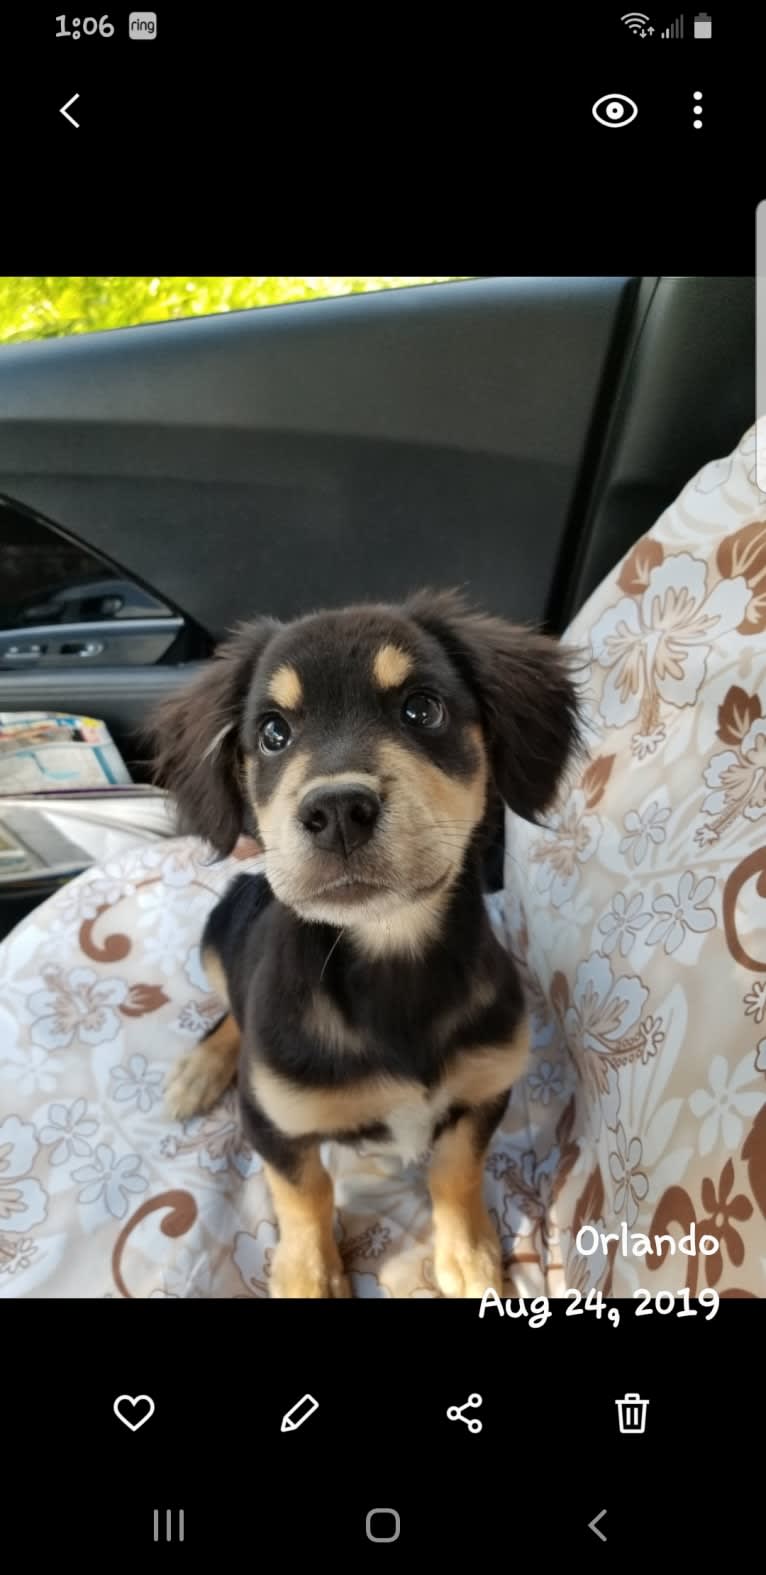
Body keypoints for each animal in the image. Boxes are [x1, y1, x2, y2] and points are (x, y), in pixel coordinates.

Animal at [148, 585, 580, 1297]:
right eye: (273, 733)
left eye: (422, 709)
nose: (337, 812)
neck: (390, 958)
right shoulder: (270, 1118)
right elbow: (305, 1194)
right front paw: (307, 1275)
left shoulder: (486, 1088)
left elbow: (455, 1170)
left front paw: (468, 1257)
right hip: (217, 934)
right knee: (230, 1008)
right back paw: (196, 1071)